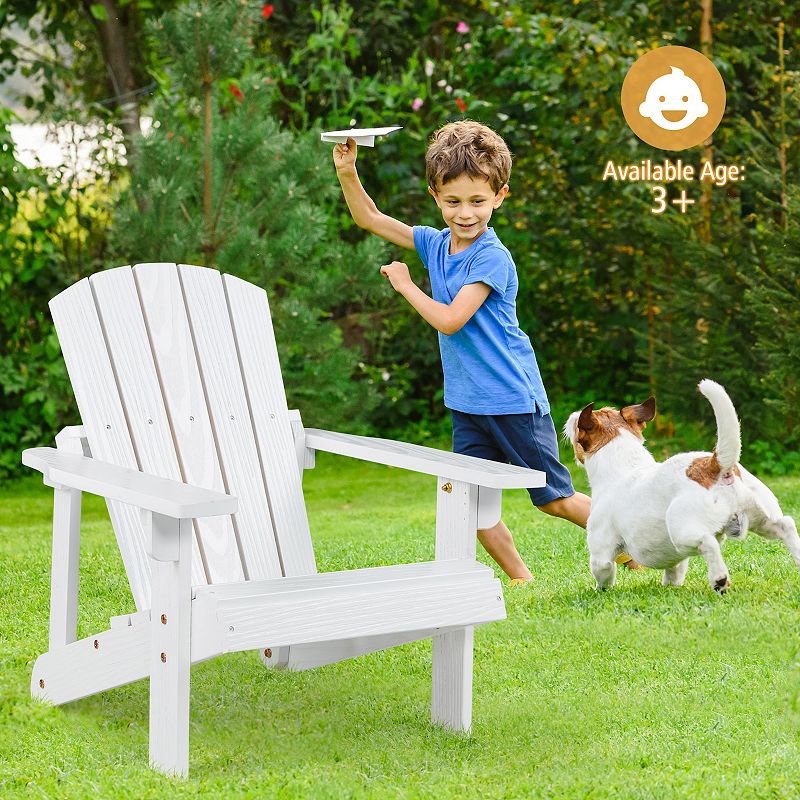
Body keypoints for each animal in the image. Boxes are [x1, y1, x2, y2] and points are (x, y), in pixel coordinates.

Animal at [564, 382, 800, 592]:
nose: (572, 415)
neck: (623, 464)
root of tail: (716, 465)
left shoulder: (601, 548)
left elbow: (603, 571)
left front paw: (600, 590)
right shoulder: (674, 560)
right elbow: (675, 570)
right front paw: (670, 586)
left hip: (681, 530)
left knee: (708, 543)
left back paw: (719, 579)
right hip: (761, 516)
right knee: (786, 525)